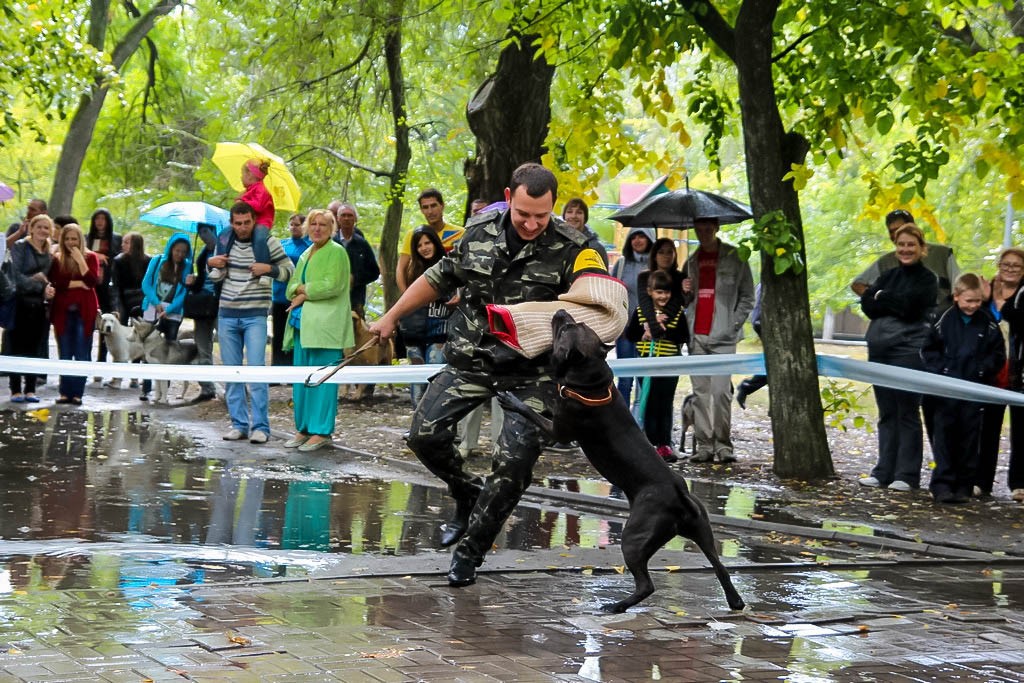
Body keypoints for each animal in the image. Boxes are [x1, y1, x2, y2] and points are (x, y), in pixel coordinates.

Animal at [495, 309, 745, 614]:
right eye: (577, 323)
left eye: (565, 330)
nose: (561, 311)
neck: (592, 382)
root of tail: (680, 497)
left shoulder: (558, 431)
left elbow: (534, 413)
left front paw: (513, 401)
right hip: (703, 532)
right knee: (720, 568)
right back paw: (735, 601)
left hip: (633, 539)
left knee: (646, 584)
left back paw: (615, 606)